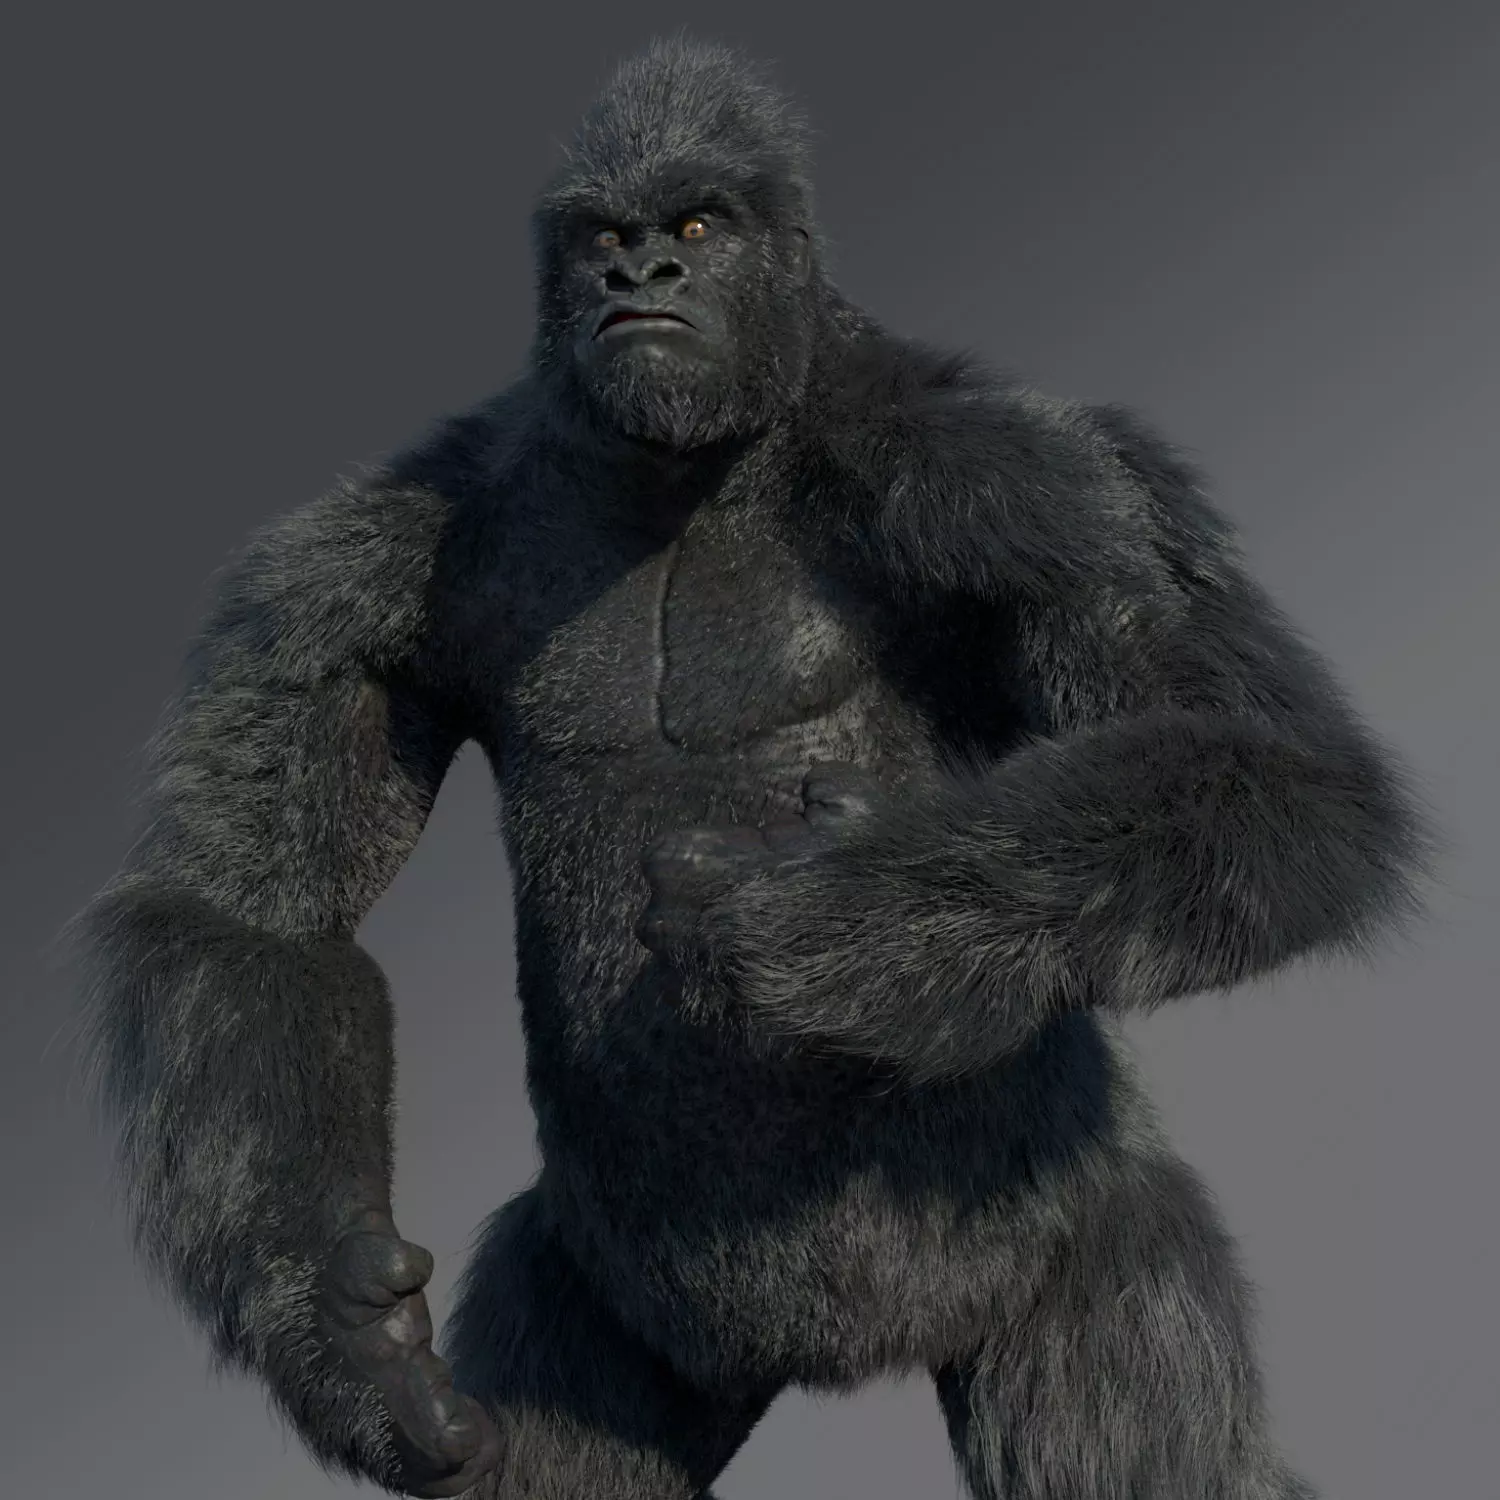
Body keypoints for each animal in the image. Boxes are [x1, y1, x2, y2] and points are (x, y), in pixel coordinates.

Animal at [70, 35, 1429, 1500]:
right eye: (606, 238)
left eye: (698, 229)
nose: (640, 282)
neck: (695, 459)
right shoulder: (346, 569)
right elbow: (252, 915)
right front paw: (335, 1333)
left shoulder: (1044, 484)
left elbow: (1270, 763)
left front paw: (824, 913)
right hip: (601, 1327)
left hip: (1075, 1247)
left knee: (1135, 1422)